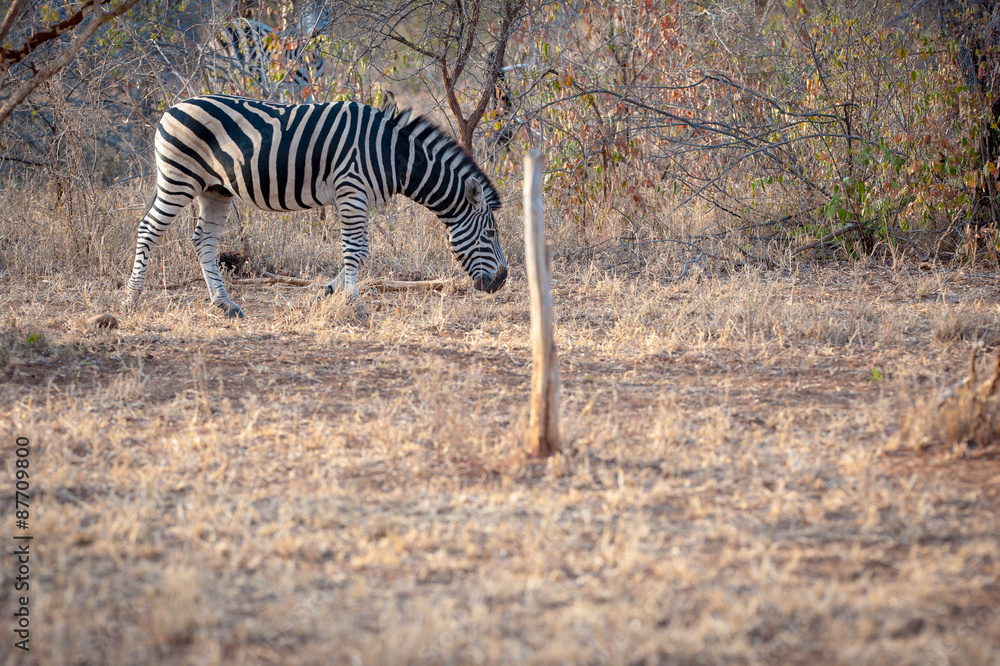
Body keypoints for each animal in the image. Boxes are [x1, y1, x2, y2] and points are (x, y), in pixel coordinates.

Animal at [123, 94, 507, 319]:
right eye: (489, 233)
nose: (502, 282)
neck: (393, 154)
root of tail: (173, 107)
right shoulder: (351, 190)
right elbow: (355, 250)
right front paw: (354, 303)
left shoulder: (356, 197)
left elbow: (360, 252)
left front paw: (331, 291)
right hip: (179, 177)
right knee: (149, 228)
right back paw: (131, 298)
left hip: (215, 188)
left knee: (203, 240)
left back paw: (225, 303)